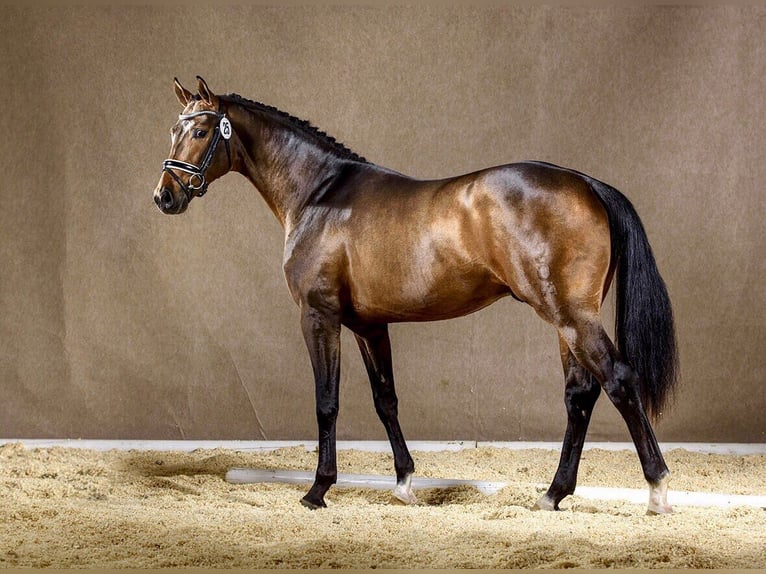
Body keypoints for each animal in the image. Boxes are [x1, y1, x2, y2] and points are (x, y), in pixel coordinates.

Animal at [153, 77, 678, 515]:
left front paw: (318, 490)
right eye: (174, 129)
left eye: (201, 131)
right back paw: (553, 494)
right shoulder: (368, 325)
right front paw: (404, 482)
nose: (165, 196)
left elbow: (327, 402)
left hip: (571, 315)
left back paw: (656, 491)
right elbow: (386, 399)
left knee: (619, 381)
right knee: (580, 395)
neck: (320, 194)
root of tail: (587, 183)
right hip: (566, 321)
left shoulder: (319, 316)